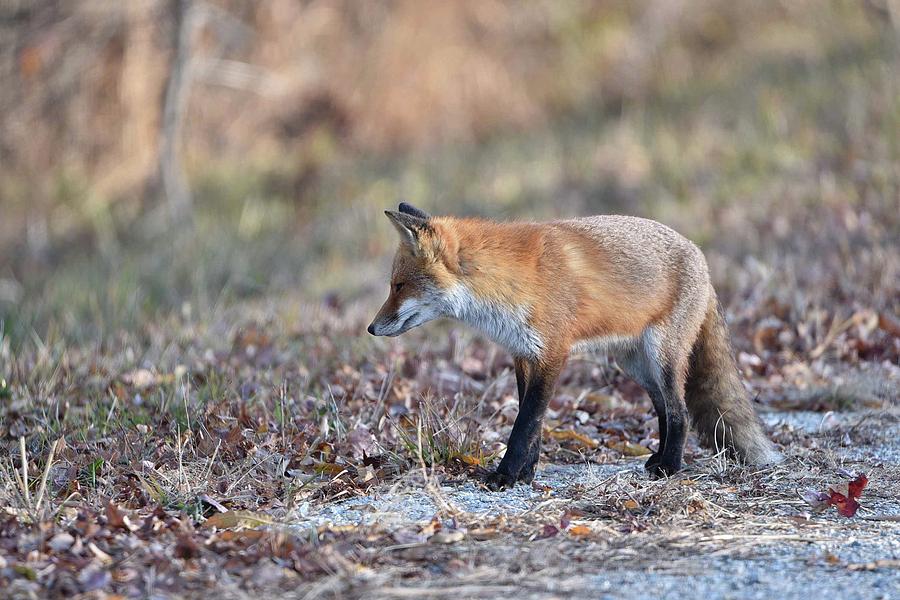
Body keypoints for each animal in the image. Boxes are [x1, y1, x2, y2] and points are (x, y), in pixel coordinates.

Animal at [366, 204, 780, 490]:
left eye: (398, 286)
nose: (371, 328)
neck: (505, 283)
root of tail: (701, 258)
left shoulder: (553, 353)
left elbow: (525, 422)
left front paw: (505, 476)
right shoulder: (523, 354)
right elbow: (532, 423)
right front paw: (526, 474)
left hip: (662, 357)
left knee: (679, 412)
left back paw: (670, 467)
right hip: (637, 365)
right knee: (665, 408)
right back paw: (657, 459)